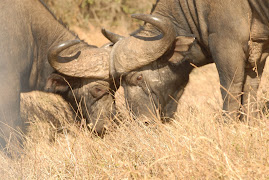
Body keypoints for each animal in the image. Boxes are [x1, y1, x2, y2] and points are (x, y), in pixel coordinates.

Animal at [102, 0, 268, 121]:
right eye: (121, 82)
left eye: (139, 77)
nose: (142, 122)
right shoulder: (258, 50)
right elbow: (250, 88)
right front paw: (249, 123)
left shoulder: (226, 43)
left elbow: (230, 88)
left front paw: (229, 124)